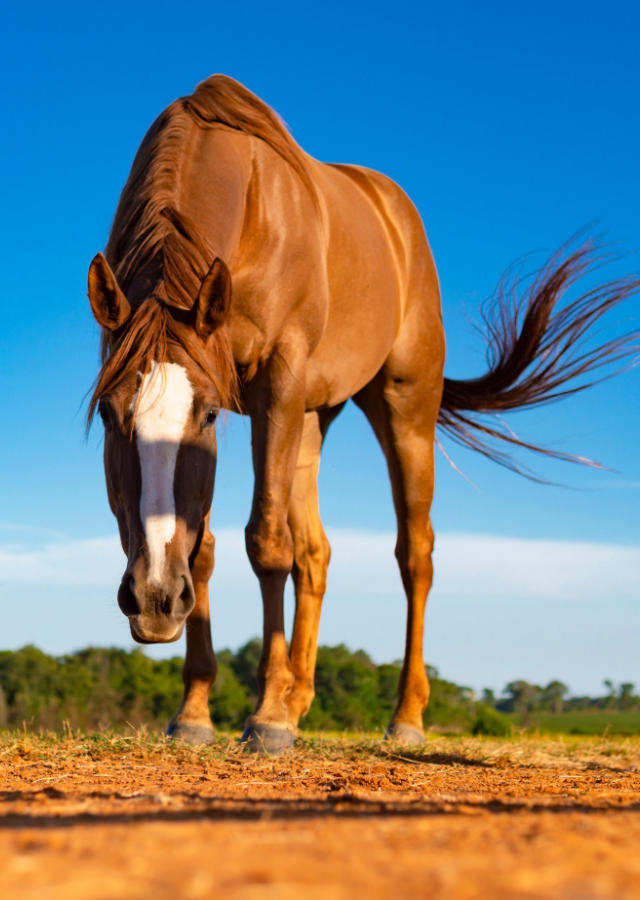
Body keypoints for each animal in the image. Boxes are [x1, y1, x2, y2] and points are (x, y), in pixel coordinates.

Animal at [87, 75, 638, 751]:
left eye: (210, 415)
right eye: (109, 415)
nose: (154, 598)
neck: (248, 209)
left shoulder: (275, 385)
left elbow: (265, 541)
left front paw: (266, 718)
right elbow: (209, 548)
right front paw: (195, 712)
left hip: (401, 407)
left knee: (414, 554)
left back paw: (404, 716)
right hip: (311, 419)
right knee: (316, 551)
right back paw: (299, 699)